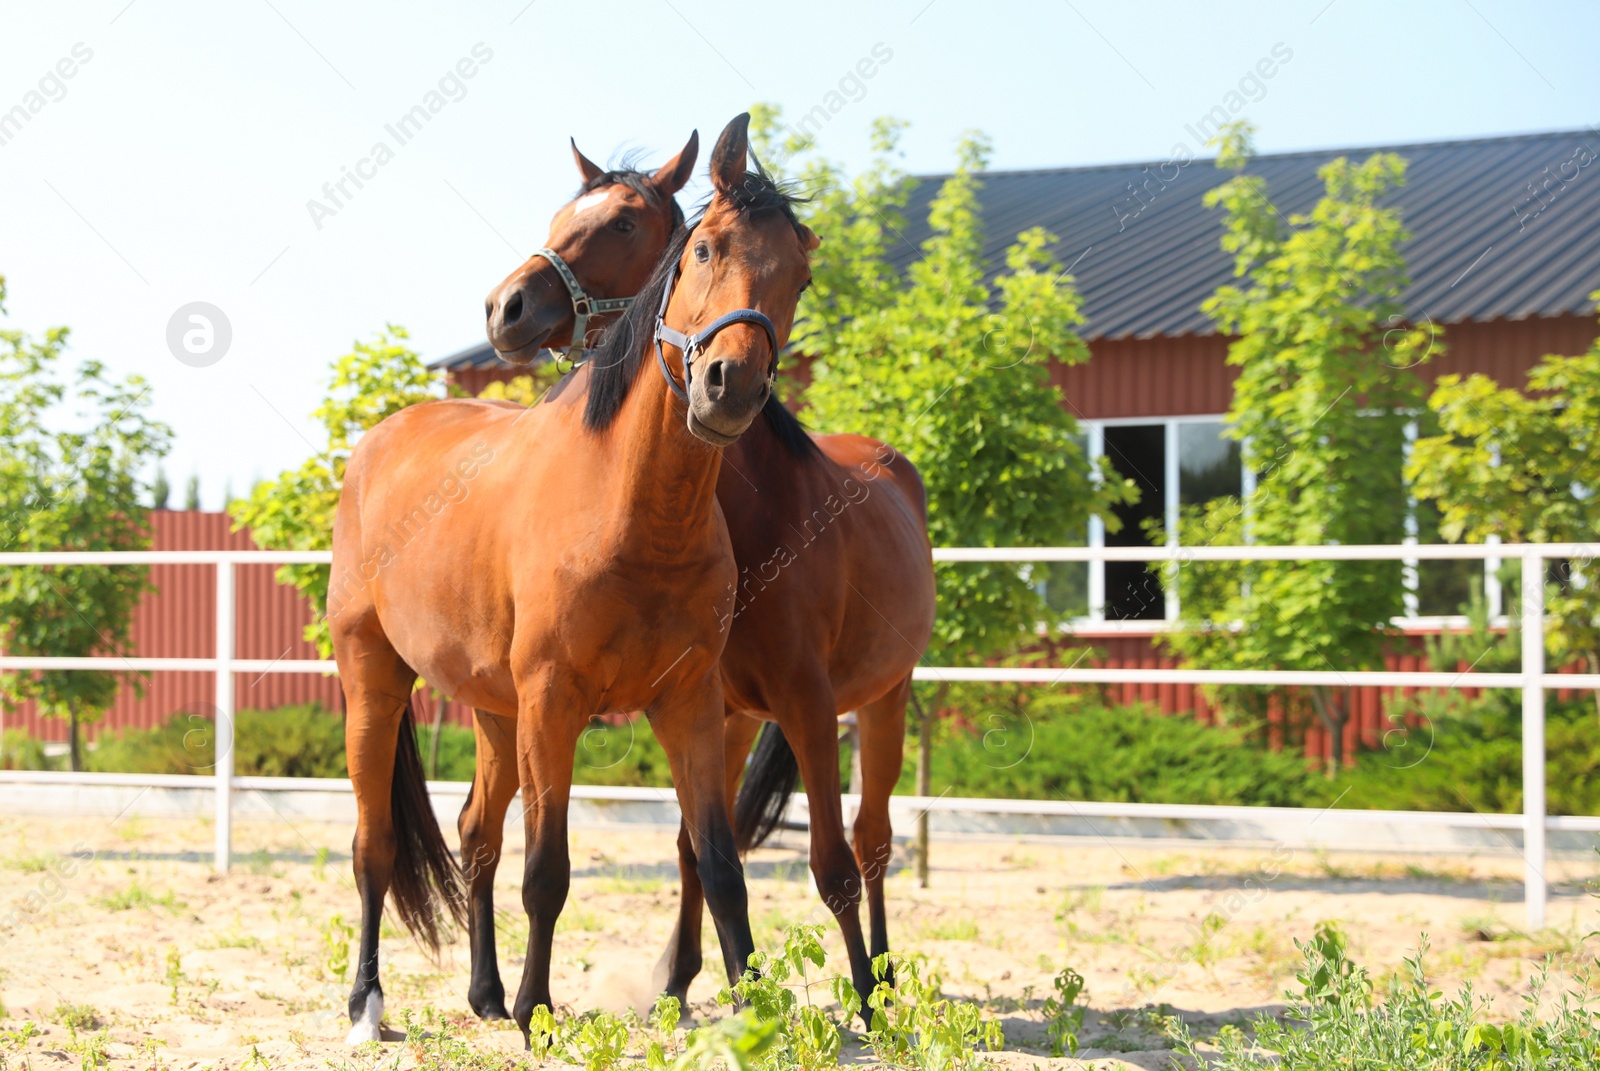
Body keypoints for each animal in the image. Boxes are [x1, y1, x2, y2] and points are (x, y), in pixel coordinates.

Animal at [329, 116, 819, 1043]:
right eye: (704, 248)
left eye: (800, 273)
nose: (728, 383)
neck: (634, 509)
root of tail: (378, 441)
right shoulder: (554, 699)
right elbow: (548, 870)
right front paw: (537, 1008)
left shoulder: (690, 703)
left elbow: (719, 861)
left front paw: (755, 1006)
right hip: (374, 678)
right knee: (374, 845)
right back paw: (369, 1003)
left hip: (493, 710)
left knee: (476, 834)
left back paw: (483, 992)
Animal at [460, 156, 934, 1011]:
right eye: (702, 248)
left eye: (622, 223)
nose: (506, 306)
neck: (751, 511)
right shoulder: (710, 699)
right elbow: (702, 845)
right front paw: (678, 978)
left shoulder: (810, 704)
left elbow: (833, 864)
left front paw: (859, 1001)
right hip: (743, 713)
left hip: (885, 697)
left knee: (874, 841)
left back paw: (879, 978)